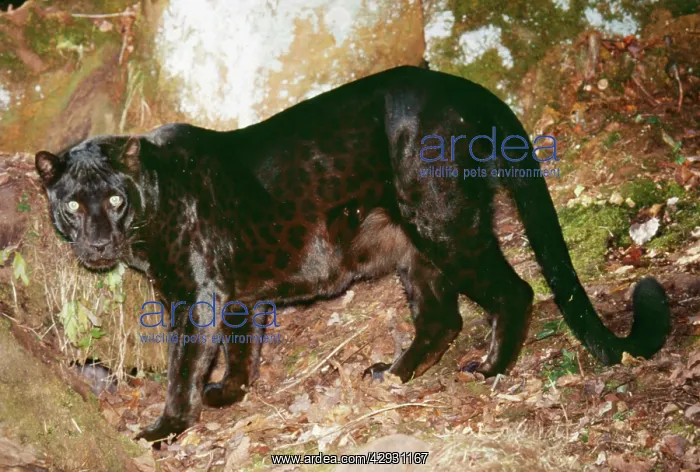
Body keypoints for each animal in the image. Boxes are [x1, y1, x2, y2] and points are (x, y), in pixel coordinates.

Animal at [35, 65, 671, 443]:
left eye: (114, 199)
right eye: (73, 205)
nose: (96, 241)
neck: (155, 200)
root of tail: (468, 87)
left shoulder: (198, 297)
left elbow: (183, 365)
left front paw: (164, 428)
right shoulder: (237, 297)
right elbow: (241, 349)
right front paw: (232, 393)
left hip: (442, 224)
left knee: (514, 290)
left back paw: (490, 368)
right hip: (417, 248)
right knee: (442, 316)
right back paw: (393, 375)